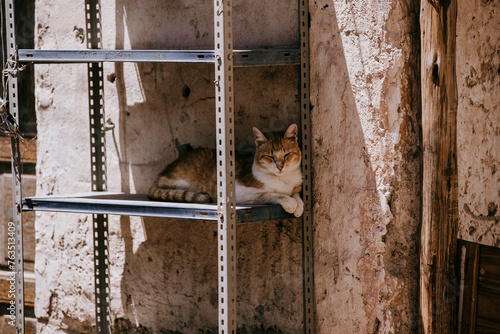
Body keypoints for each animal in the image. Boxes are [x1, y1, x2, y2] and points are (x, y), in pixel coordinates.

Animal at [147, 123, 304, 217]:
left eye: (286, 155)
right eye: (270, 157)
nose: (280, 167)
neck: (284, 180)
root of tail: (161, 173)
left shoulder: (296, 188)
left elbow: (297, 196)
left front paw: (299, 207)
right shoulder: (243, 192)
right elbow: (276, 195)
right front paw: (291, 204)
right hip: (182, 181)